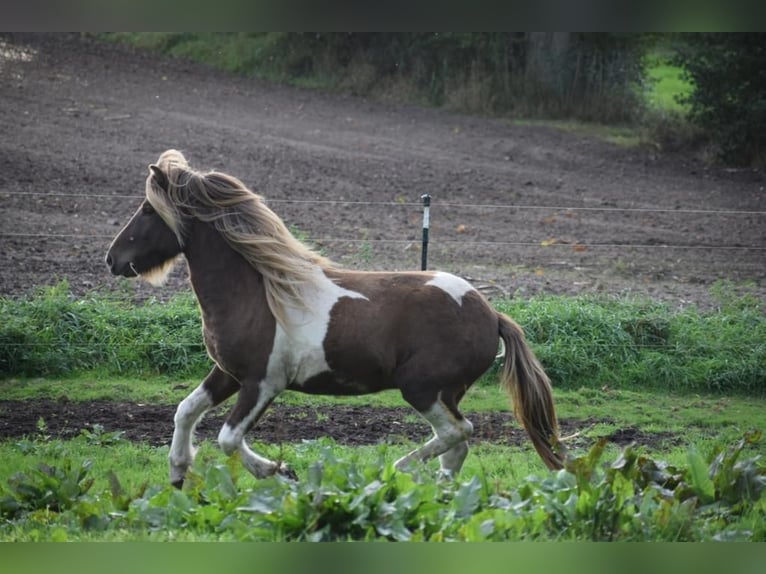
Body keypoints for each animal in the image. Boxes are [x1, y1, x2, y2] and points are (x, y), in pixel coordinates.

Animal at [106, 151, 564, 488]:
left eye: (148, 211)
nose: (112, 259)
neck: (257, 293)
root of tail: (491, 313)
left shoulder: (263, 383)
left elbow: (228, 438)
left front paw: (280, 472)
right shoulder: (229, 373)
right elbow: (185, 410)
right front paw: (178, 473)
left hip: (423, 389)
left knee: (458, 432)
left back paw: (395, 471)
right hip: (445, 392)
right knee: (456, 447)